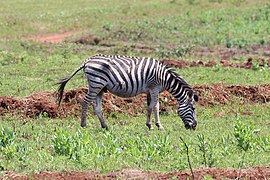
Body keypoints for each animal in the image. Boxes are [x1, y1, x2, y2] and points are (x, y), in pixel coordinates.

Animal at [56, 54, 198, 130]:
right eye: (193, 108)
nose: (194, 126)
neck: (165, 77)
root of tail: (87, 61)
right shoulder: (154, 88)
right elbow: (154, 106)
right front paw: (156, 125)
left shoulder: (149, 90)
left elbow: (151, 107)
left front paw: (152, 125)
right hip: (96, 84)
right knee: (85, 102)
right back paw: (83, 124)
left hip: (100, 88)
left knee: (97, 107)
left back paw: (105, 126)